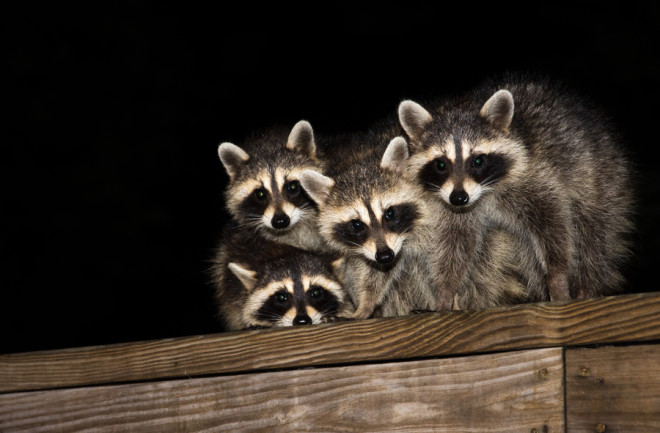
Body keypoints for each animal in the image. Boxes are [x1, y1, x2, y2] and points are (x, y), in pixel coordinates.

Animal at [300, 120, 444, 318]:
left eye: (390, 214)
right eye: (357, 224)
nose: (385, 255)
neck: (359, 161)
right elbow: (375, 272)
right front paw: (365, 304)